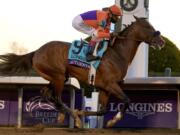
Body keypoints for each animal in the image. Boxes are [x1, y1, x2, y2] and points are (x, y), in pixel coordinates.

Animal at [0, 16, 165, 127]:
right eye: (148, 27)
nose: (162, 42)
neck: (117, 53)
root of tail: (36, 51)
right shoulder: (111, 84)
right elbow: (127, 100)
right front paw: (113, 120)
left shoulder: (105, 88)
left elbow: (102, 111)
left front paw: (84, 113)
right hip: (58, 76)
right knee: (56, 97)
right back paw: (75, 118)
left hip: (57, 77)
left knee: (47, 94)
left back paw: (64, 115)